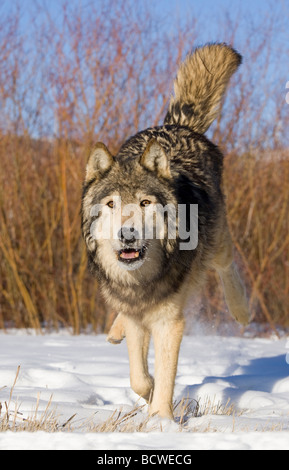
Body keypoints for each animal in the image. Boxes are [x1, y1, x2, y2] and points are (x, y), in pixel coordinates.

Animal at [81, 43, 250, 418]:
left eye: (145, 203)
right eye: (112, 204)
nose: (127, 234)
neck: (143, 280)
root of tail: (175, 126)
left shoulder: (169, 322)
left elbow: (164, 377)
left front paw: (161, 421)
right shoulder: (137, 315)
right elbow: (139, 379)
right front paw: (155, 402)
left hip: (217, 242)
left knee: (227, 265)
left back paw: (241, 310)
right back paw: (114, 331)